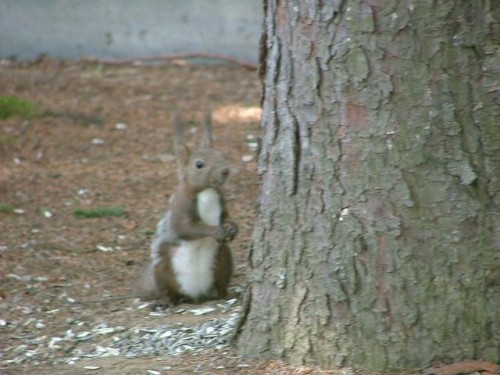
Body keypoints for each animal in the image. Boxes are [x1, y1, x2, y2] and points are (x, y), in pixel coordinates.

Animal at [143, 111, 238, 306]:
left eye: (220, 154)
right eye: (199, 164)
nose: (225, 171)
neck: (206, 190)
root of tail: (195, 293)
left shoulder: (221, 199)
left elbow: (225, 216)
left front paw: (232, 227)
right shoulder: (182, 204)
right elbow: (185, 228)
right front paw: (215, 231)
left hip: (223, 258)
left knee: (221, 283)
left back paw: (225, 294)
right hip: (162, 267)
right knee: (168, 291)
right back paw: (166, 303)